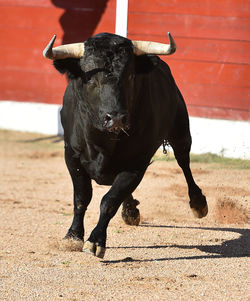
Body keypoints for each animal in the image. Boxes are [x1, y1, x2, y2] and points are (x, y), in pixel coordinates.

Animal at [44, 32, 208, 258]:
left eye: (130, 77)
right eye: (91, 79)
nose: (116, 118)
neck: (103, 142)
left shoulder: (137, 163)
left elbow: (109, 200)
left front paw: (95, 241)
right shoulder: (72, 155)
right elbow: (81, 198)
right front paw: (73, 236)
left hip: (180, 130)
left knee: (184, 162)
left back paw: (198, 203)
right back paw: (130, 210)